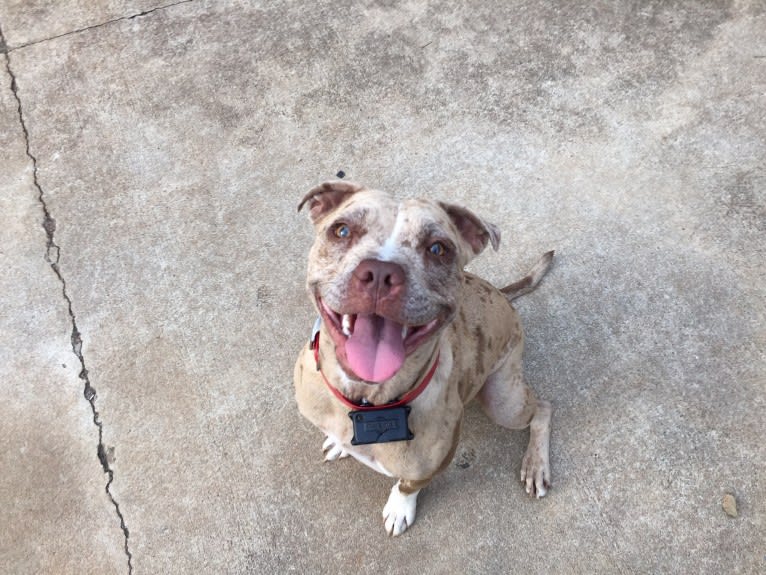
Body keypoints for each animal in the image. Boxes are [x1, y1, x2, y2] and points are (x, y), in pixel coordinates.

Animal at [296, 180, 556, 536]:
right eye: (342, 230)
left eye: (437, 249)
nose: (380, 272)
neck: (365, 401)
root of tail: (501, 294)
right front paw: (338, 442)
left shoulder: (433, 463)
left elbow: (408, 485)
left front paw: (399, 507)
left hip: (505, 401)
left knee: (542, 408)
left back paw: (536, 465)